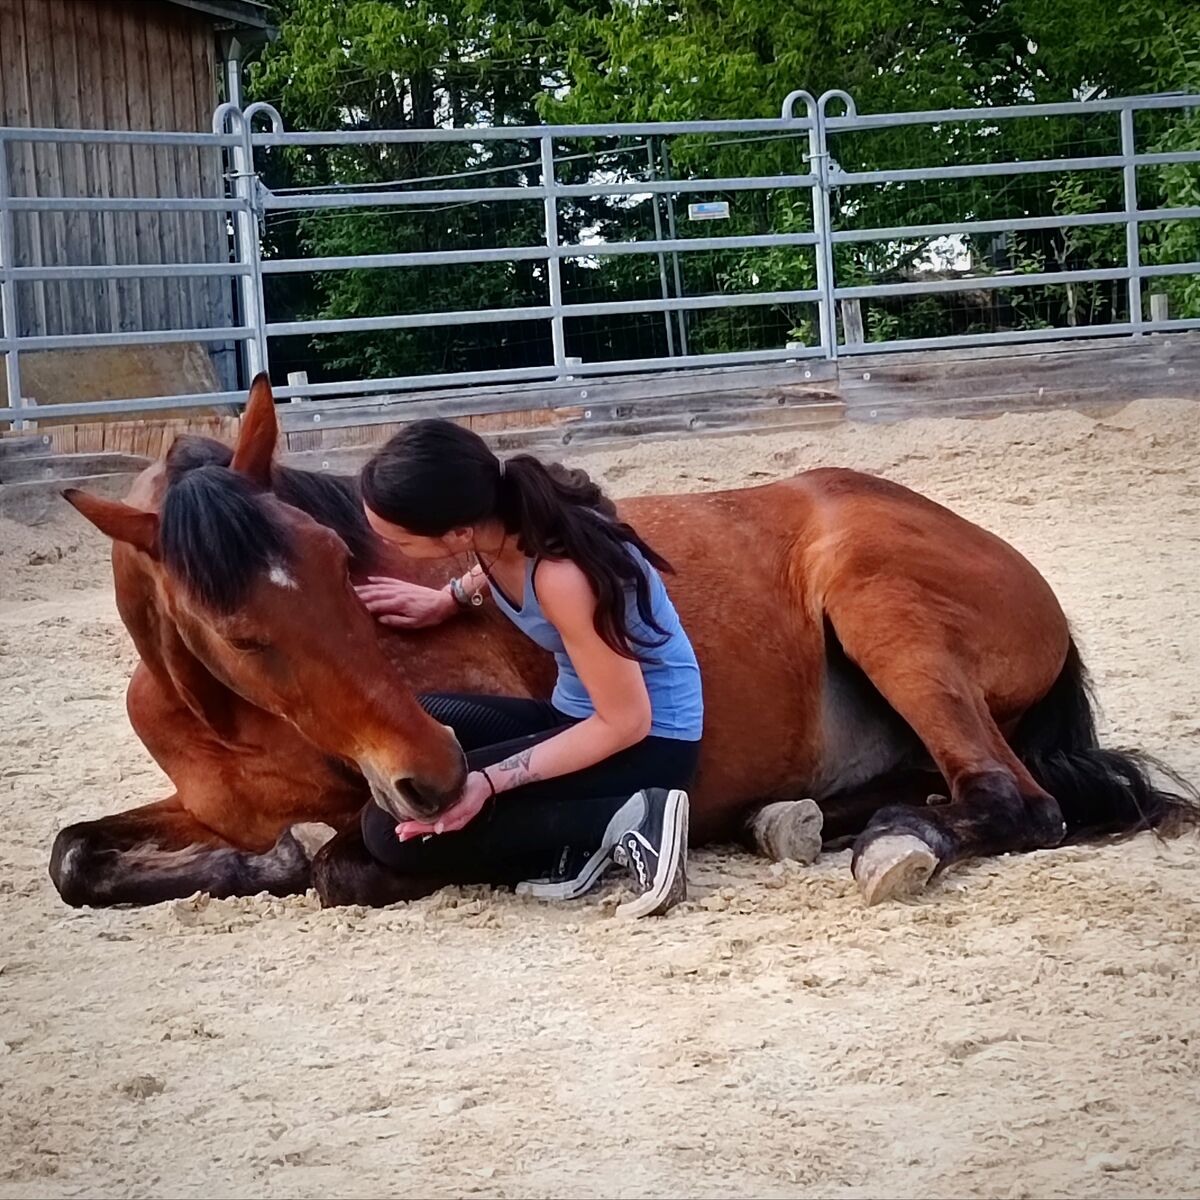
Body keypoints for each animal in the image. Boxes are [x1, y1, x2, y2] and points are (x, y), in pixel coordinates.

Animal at [50, 375, 1194, 910]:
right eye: (243, 631)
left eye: (341, 563)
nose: (434, 773)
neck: (223, 713)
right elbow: (71, 856)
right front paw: (252, 857)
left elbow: (341, 862)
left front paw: (297, 856)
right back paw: (792, 819)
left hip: (880, 606)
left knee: (1011, 802)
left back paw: (893, 844)